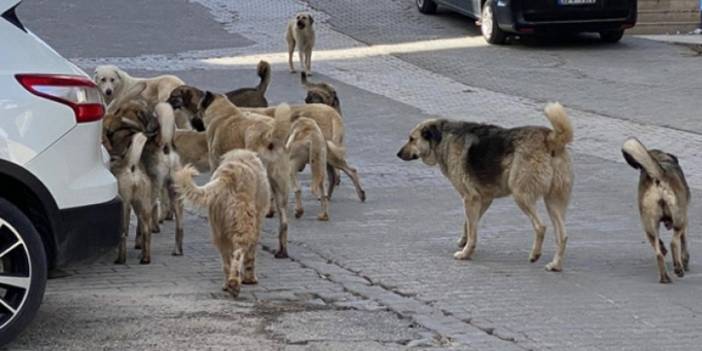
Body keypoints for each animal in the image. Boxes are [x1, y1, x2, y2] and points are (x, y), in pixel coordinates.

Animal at [176, 150, 272, 298]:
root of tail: (228, 176)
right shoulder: (257, 224)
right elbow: (250, 256)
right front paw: (250, 279)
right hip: (243, 225)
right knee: (238, 253)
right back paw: (234, 284)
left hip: (219, 231)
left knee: (227, 261)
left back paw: (228, 285)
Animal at [398, 103, 576, 274]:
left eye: (412, 139)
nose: (397, 154)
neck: (443, 138)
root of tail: (550, 138)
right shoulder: (482, 199)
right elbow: (469, 225)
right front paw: (464, 242)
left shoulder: (470, 198)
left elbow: (472, 229)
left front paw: (465, 253)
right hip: (553, 202)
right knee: (563, 235)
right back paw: (555, 265)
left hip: (521, 195)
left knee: (540, 227)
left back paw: (535, 255)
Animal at [620, 138, 692, 284]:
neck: (661, 158)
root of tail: (658, 175)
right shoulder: (684, 219)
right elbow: (684, 242)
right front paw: (685, 261)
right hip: (679, 219)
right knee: (674, 242)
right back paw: (678, 269)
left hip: (649, 226)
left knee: (658, 253)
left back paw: (665, 277)